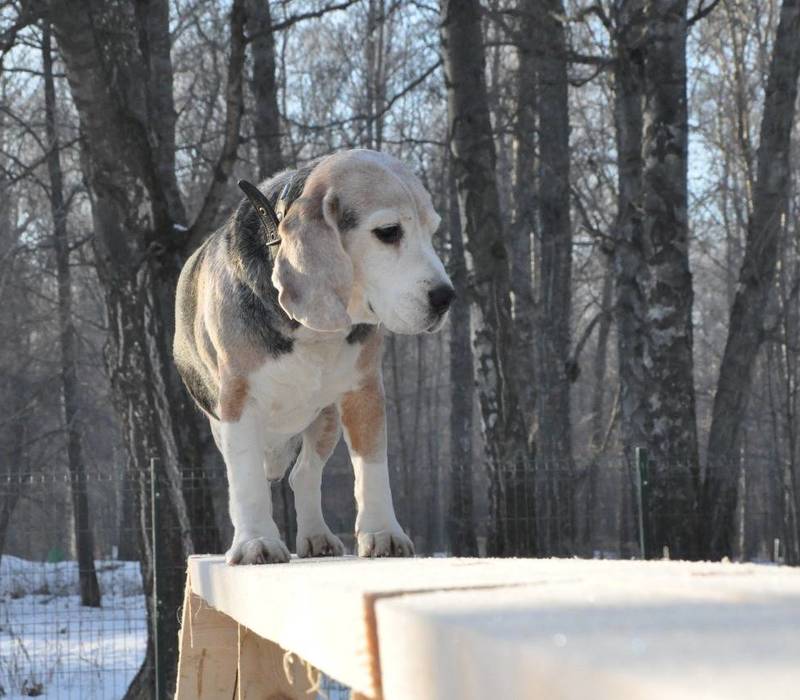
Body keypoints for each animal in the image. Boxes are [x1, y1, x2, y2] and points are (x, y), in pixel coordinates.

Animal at [173, 150, 454, 568]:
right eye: (388, 232)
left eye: (432, 231)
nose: (445, 298)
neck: (311, 328)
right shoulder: (238, 400)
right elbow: (246, 480)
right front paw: (256, 542)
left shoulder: (364, 391)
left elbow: (372, 467)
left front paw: (382, 532)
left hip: (325, 420)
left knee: (302, 475)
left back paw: (316, 535)